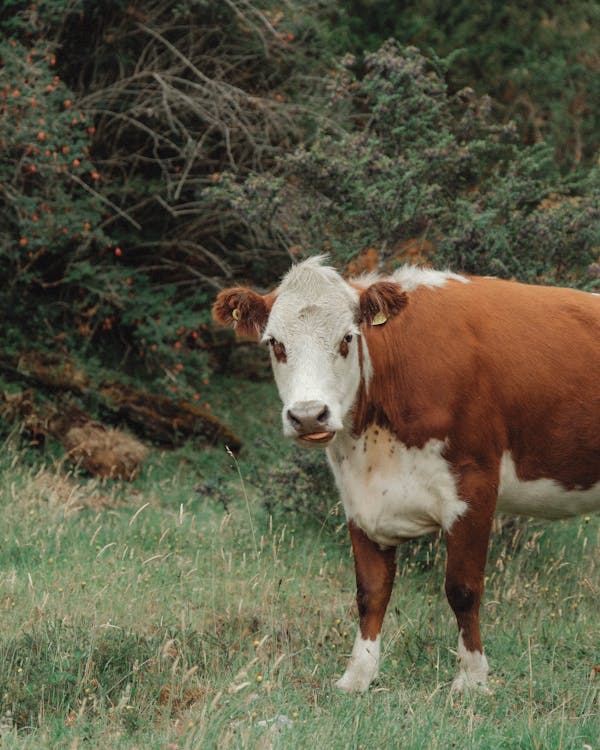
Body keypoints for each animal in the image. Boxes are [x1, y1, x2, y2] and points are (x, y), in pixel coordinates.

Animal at [214, 256, 600, 696]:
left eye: (348, 339)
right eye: (274, 344)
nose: (309, 415)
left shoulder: (474, 486)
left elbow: (463, 589)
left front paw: (471, 679)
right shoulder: (359, 501)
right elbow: (370, 592)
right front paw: (357, 676)